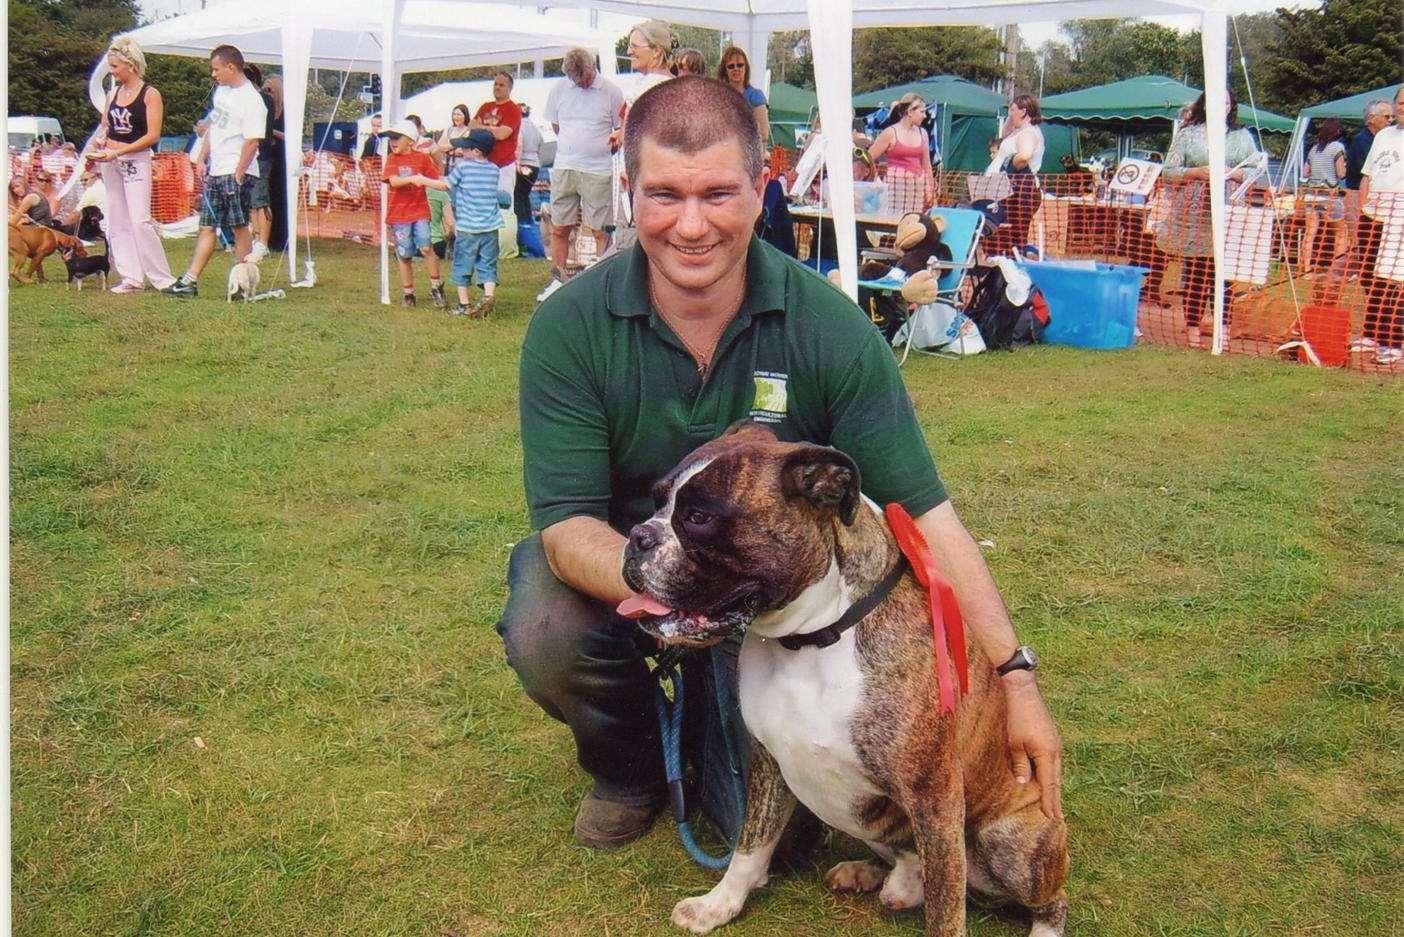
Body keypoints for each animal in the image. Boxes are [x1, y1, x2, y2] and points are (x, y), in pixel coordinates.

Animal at [620, 427, 1067, 937]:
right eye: (656, 501)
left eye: (698, 518)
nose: (638, 536)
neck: (811, 638)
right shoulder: (768, 764)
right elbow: (750, 847)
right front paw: (719, 904)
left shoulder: (934, 796)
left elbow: (945, 911)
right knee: (909, 860)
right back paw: (878, 877)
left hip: (1010, 840)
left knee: (1046, 899)